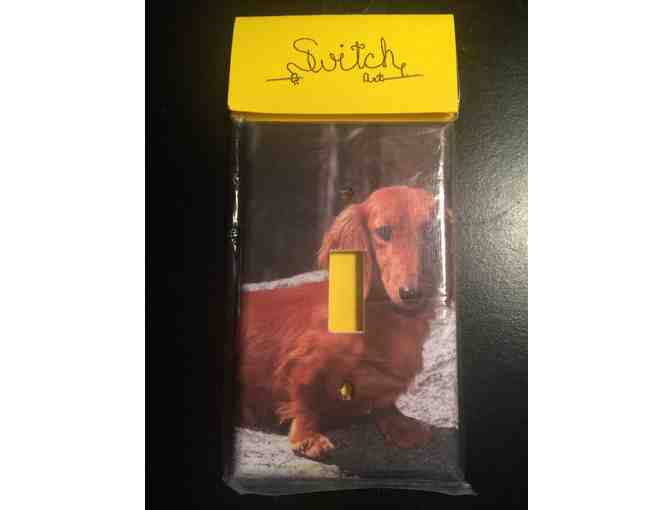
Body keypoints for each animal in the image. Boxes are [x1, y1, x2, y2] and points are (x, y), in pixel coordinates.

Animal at [236, 185, 450, 460]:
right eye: (383, 232)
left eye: (430, 230)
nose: (410, 293)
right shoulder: (303, 364)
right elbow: (305, 399)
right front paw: (308, 437)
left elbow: (385, 404)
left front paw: (400, 426)